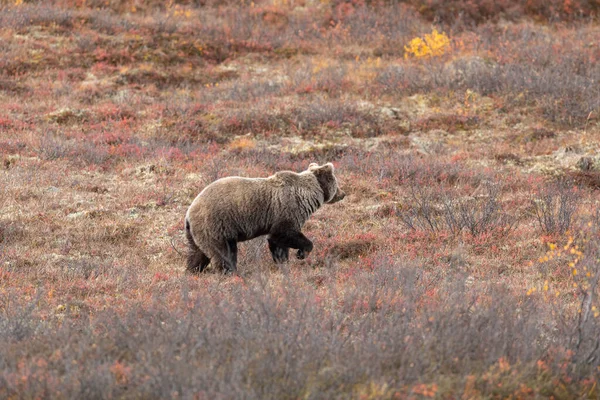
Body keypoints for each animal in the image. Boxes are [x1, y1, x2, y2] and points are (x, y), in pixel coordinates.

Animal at [186, 162, 346, 272]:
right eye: (337, 183)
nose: (343, 193)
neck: (307, 195)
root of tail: (189, 212)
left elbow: (277, 243)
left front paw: (283, 262)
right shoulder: (288, 210)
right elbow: (284, 234)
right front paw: (301, 253)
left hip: (197, 233)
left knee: (196, 254)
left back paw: (193, 271)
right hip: (217, 225)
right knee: (224, 253)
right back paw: (231, 272)